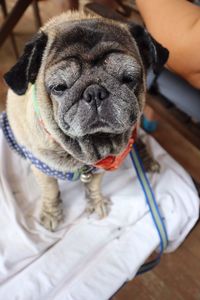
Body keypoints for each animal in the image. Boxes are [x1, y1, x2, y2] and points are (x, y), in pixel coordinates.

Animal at [3, 10, 169, 231]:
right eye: (59, 87)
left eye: (128, 78)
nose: (95, 92)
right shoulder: (42, 168)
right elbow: (50, 191)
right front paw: (52, 213)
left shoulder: (101, 166)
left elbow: (94, 185)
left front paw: (96, 202)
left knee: (138, 141)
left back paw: (148, 161)